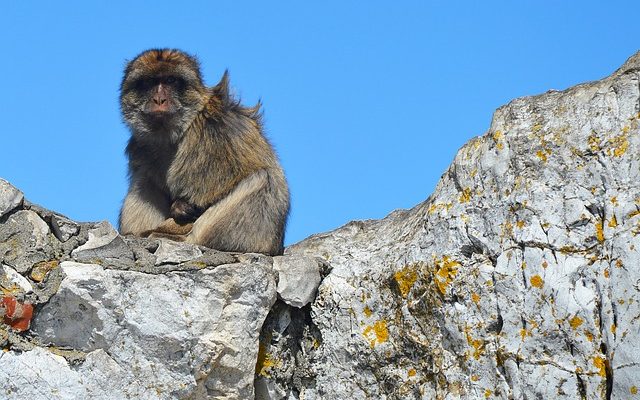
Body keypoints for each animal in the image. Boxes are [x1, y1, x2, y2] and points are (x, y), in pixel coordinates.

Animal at [117, 49, 290, 256]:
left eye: (171, 81)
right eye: (149, 82)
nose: (159, 100)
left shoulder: (210, 134)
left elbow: (206, 197)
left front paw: (180, 212)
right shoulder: (140, 146)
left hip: (251, 236)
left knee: (260, 178)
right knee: (144, 179)